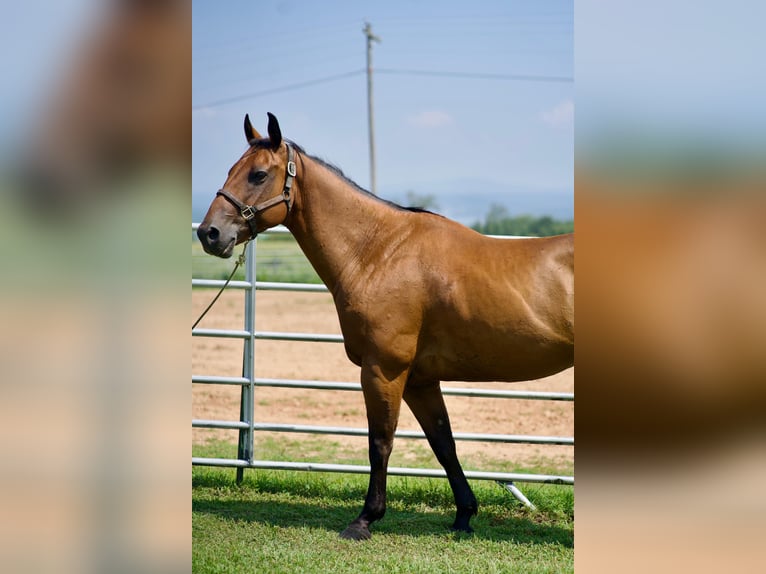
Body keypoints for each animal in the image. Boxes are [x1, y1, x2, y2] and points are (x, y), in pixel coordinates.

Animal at [197, 113, 574, 540]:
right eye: (231, 169)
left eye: (258, 174)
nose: (209, 233)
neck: (379, 252)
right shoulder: (419, 379)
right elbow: (444, 443)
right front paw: (464, 515)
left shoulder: (383, 369)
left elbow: (380, 442)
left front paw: (365, 519)